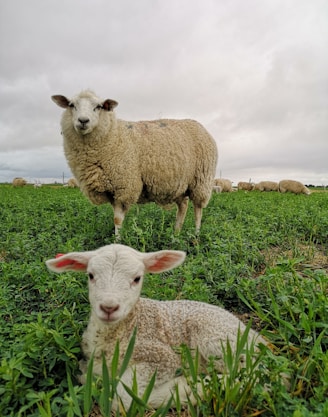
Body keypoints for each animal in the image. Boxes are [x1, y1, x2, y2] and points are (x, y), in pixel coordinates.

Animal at [46, 242, 266, 408]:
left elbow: (124, 395)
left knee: (254, 375)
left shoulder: (161, 357)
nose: (109, 307)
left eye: (137, 278)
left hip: (217, 341)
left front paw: (173, 390)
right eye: (90, 275)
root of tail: (258, 338)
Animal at [51, 90, 218, 236]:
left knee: (198, 210)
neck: (113, 135)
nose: (83, 121)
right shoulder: (112, 190)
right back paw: (176, 233)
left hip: (201, 181)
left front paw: (117, 243)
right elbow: (115, 219)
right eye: (71, 105)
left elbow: (117, 220)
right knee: (182, 207)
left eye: (98, 106)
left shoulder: (124, 186)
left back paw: (195, 236)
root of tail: (200, 126)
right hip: (180, 184)